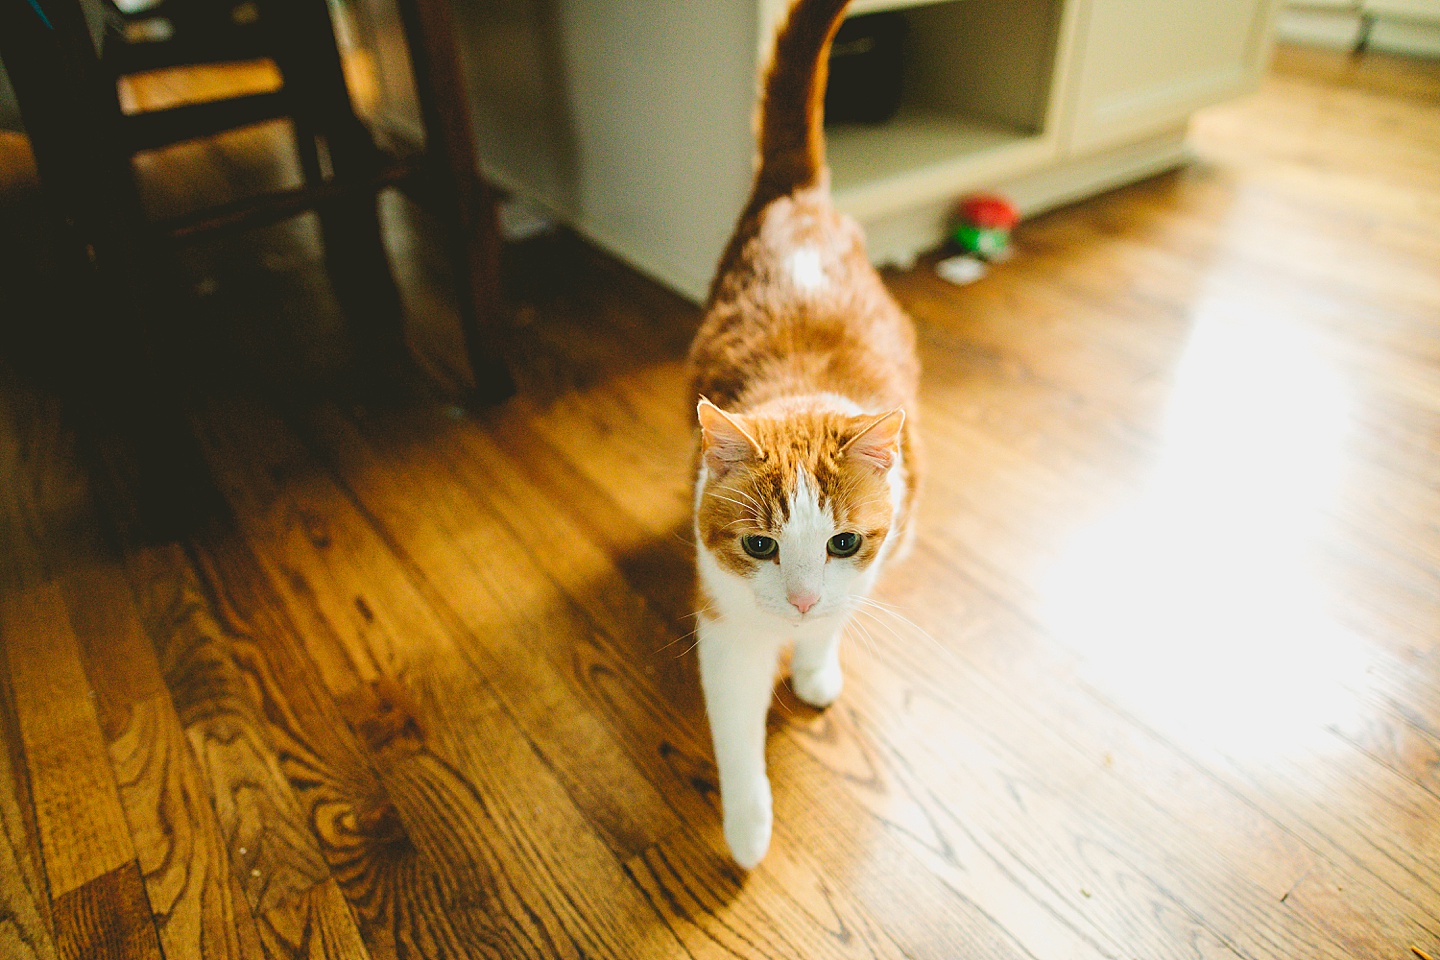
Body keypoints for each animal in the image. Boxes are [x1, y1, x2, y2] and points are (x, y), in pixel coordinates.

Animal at [688, 0, 915, 869]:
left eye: (844, 542)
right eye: (760, 546)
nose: (804, 599)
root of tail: (801, 195)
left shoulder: (878, 557)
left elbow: (838, 623)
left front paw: (817, 663)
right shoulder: (724, 630)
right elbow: (736, 736)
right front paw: (748, 829)